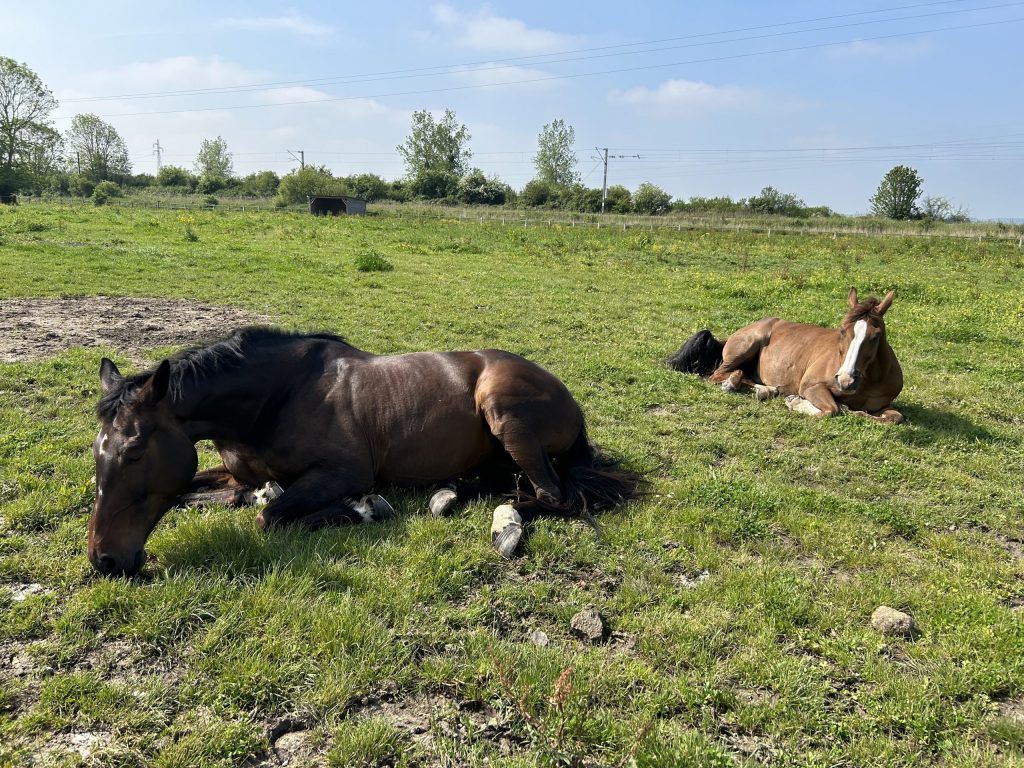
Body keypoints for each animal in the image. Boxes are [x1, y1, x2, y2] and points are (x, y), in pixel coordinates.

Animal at [88, 328, 642, 576]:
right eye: (99, 454)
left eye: (134, 452)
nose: (105, 560)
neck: (275, 398)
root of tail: (566, 396)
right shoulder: (233, 475)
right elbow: (213, 494)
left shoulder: (344, 473)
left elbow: (273, 517)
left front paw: (363, 509)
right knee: (504, 484)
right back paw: (448, 495)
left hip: (506, 414)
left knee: (551, 496)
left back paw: (504, 526)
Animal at [668, 288, 904, 423]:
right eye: (842, 331)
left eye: (876, 336)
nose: (845, 380)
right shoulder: (811, 386)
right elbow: (832, 409)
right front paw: (797, 403)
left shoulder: (881, 407)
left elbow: (894, 417)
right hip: (746, 347)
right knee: (718, 375)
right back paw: (733, 384)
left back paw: (766, 389)